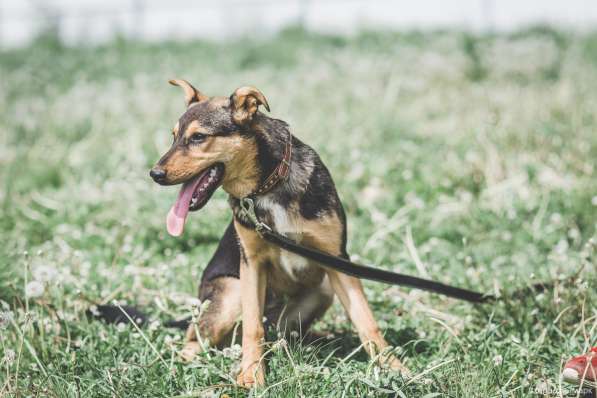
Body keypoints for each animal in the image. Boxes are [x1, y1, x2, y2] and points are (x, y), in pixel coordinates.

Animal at [150, 79, 410, 388]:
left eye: (198, 137)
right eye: (173, 137)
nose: (154, 174)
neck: (268, 186)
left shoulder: (338, 260)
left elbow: (367, 322)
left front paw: (394, 368)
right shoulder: (251, 264)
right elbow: (253, 327)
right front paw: (251, 374)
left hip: (321, 290)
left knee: (282, 335)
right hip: (231, 294)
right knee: (195, 342)